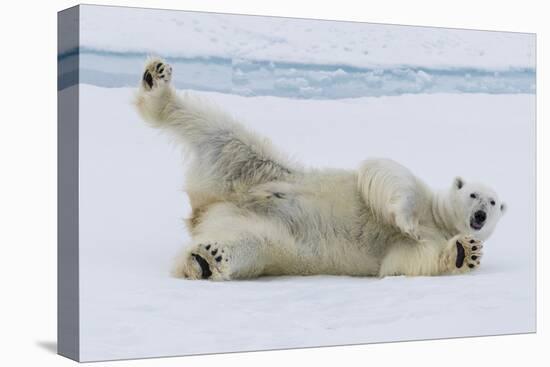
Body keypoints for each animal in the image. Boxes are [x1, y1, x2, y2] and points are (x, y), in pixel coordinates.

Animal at [136, 58, 506, 282]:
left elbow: (404, 260)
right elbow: (388, 172)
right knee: (218, 131)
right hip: (254, 168)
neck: (438, 219)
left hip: (271, 236)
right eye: (474, 194)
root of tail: (207, 211)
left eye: (493, 203)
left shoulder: (425, 243)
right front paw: (404, 218)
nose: (480, 215)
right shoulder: (416, 189)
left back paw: (206, 259)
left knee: (248, 244)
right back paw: (157, 83)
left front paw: (465, 251)